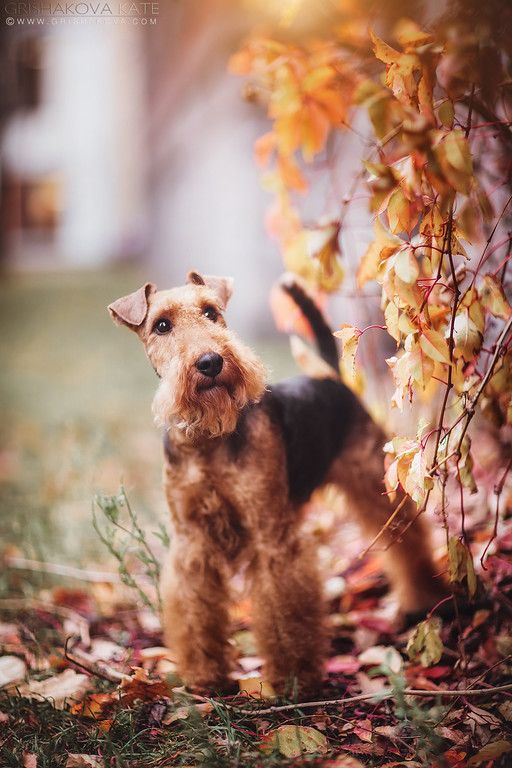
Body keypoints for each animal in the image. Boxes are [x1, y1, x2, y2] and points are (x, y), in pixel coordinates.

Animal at [108, 272, 444, 700]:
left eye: (211, 312)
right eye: (162, 325)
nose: (210, 362)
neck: (208, 440)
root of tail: (328, 375)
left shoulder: (272, 535)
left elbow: (284, 611)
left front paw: (295, 680)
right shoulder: (193, 543)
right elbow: (195, 611)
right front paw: (205, 676)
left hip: (375, 481)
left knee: (408, 539)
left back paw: (424, 599)